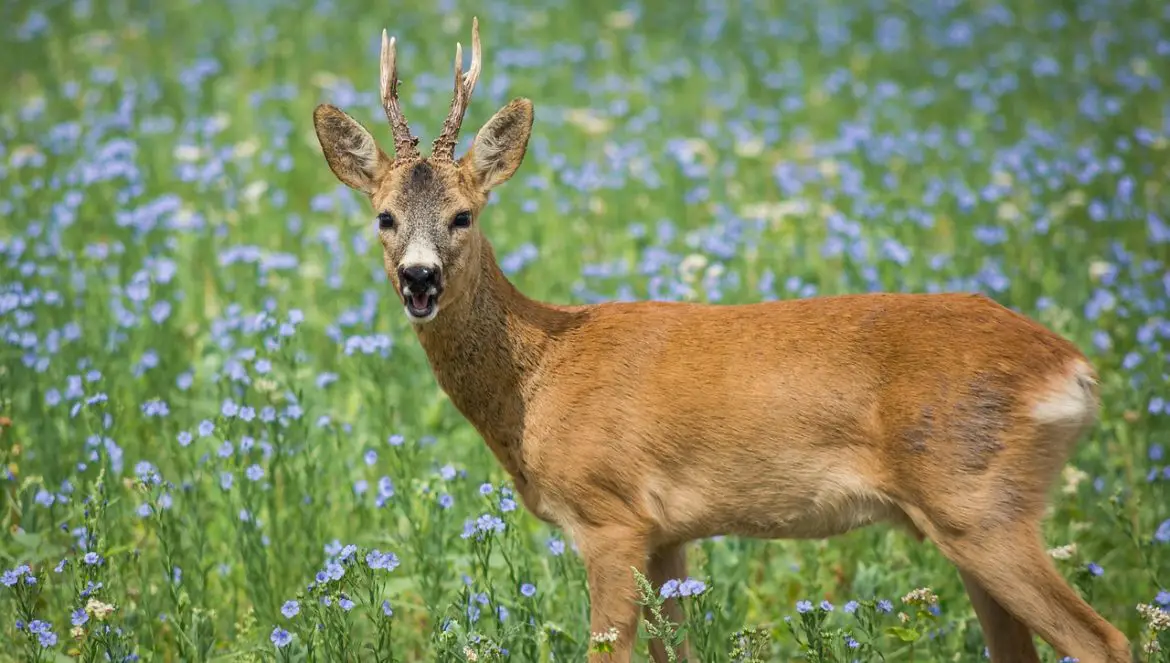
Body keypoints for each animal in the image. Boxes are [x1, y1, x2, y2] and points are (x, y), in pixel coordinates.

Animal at [311, 15, 1132, 663]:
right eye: (384, 216)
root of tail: (1075, 370)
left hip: (979, 502)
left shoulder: (610, 515)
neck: (538, 377)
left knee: (1106, 640)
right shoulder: (669, 532)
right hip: (973, 520)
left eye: (464, 215)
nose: (419, 278)